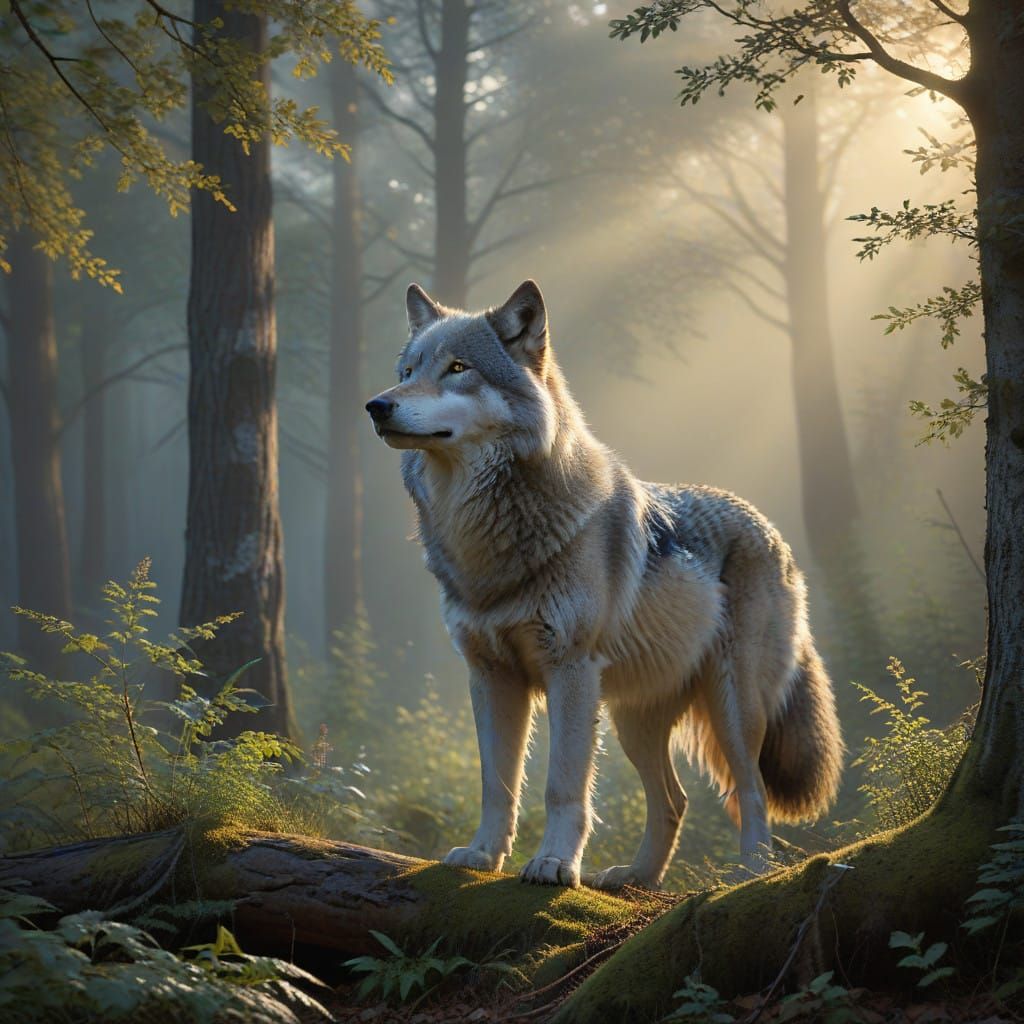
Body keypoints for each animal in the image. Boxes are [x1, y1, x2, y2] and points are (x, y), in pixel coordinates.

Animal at [365, 279, 844, 888]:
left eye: (457, 368)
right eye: (407, 371)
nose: (377, 405)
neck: (488, 535)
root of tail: (768, 526)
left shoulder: (570, 670)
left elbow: (562, 786)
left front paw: (553, 864)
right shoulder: (490, 675)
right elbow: (496, 784)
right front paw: (483, 855)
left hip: (733, 707)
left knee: (750, 791)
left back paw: (750, 874)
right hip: (632, 720)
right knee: (676, 799)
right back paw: (636, 877)